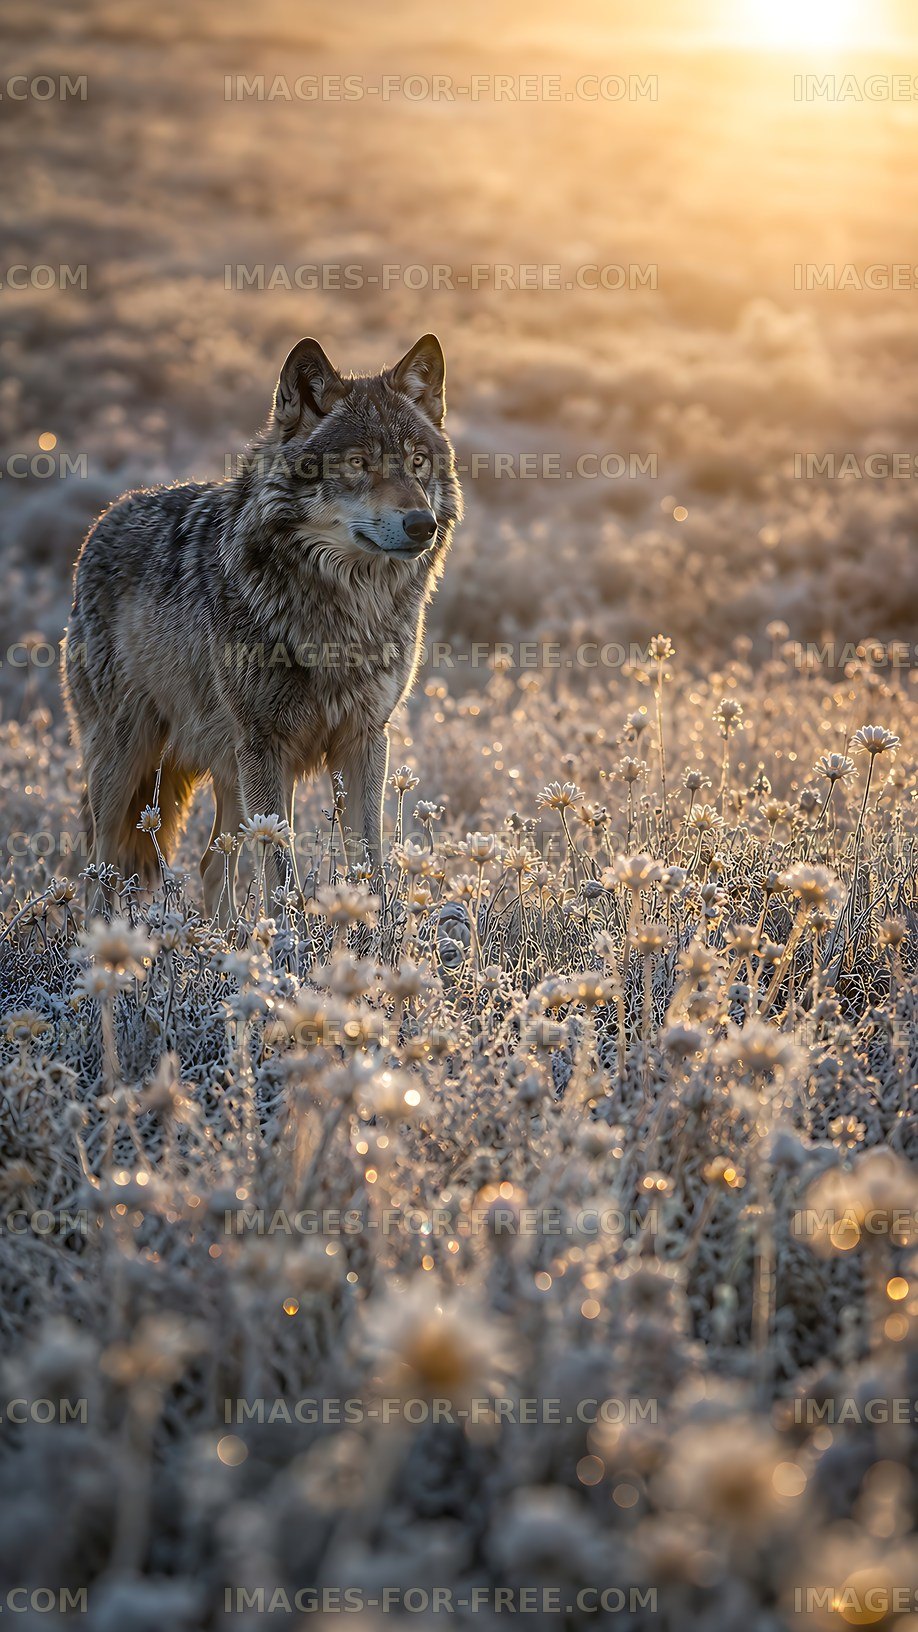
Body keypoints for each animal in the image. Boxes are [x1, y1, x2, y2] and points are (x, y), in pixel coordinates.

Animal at [63, 334, 462, 921]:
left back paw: (220, 940)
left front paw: (373, 938)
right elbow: (279, 876)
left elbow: (368, 863)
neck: (343, 611)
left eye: (416, 462)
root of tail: (102, 520)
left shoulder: (364, 738)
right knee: (100, 867)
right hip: (129, 761)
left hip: (229, 771)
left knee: (213, 862)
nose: (422, 524)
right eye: (358, 463)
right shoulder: (264, 742)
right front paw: (290, 942)